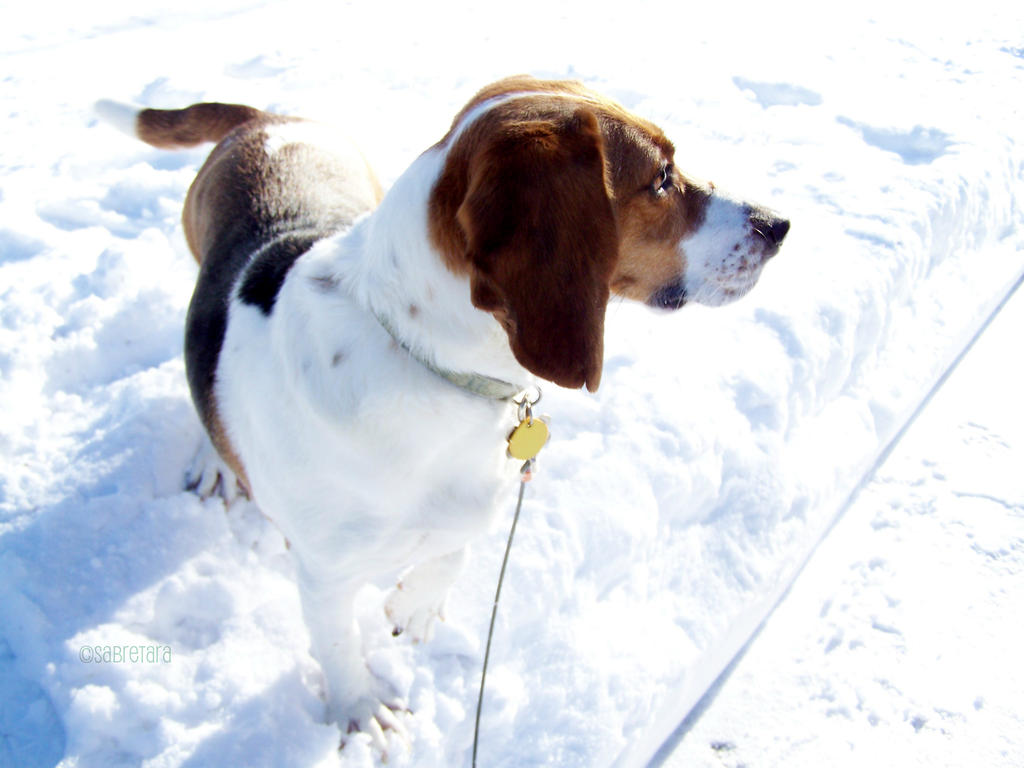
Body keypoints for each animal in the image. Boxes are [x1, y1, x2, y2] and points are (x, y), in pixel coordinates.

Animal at [96, 76, 786, 753]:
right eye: (662, 178)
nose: (778, 224)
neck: (417, 352)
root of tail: (264, 121)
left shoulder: (482, 491)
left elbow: (455, 547)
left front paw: (416, 606)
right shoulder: (322, 572)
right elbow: (339, 646)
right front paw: (359, 710)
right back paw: (213, 458)